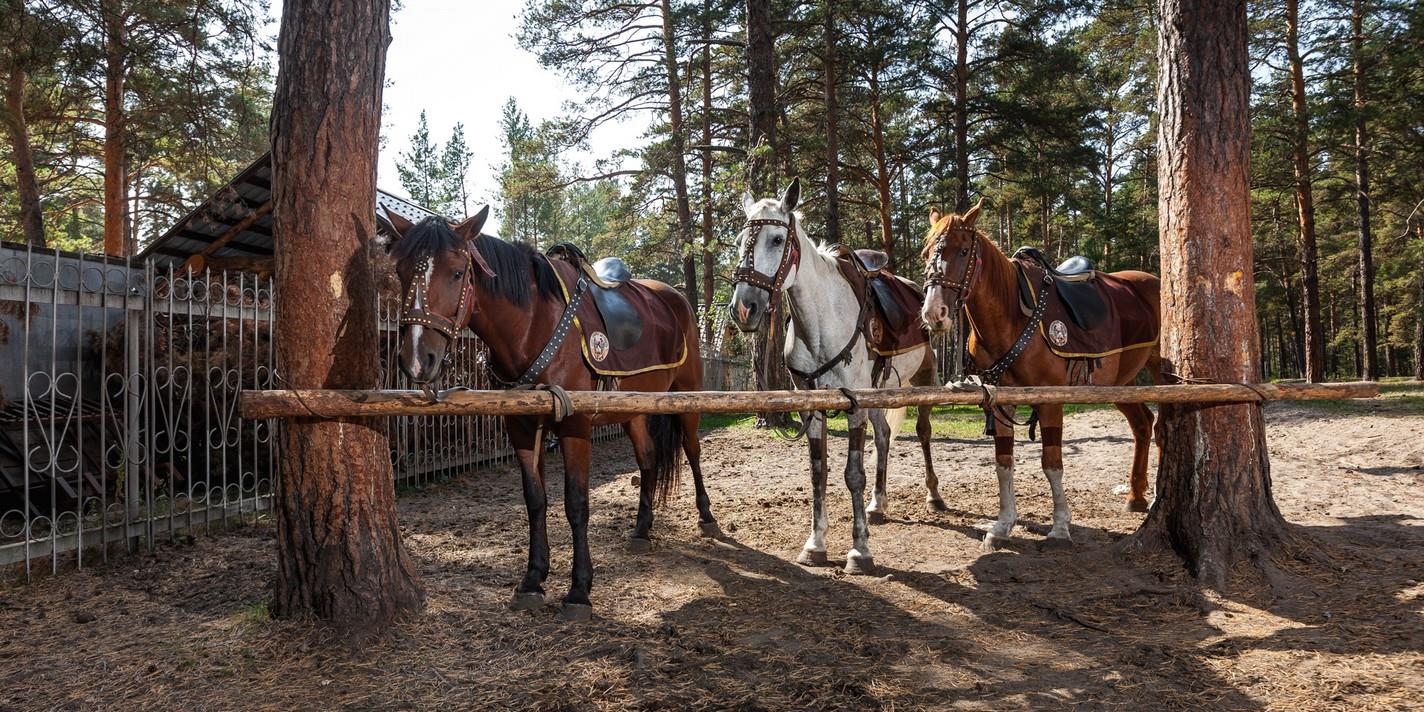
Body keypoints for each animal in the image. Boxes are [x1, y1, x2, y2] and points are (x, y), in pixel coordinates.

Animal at [384, 206, 717, 618]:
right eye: (400, 272)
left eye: (458, 272)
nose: (417, 360)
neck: (534, 326)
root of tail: (677, 299)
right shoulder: (522, 427)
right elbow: (536, 501)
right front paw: (532, 580)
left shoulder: (575, 425)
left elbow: (576, 503)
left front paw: (579, 590)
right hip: (634, 410)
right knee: (648, 459)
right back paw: (642, 530)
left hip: (688, 398)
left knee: (692, 450)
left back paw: (707, 517)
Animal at [729, 178, 939, 572]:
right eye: (738, 241)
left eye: (777, 240)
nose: (744, 308)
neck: (822, 325)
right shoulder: (812, 408)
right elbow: (818, 472)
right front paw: (815, 544)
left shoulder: (853, 405)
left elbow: (853, 474)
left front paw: (860, 551)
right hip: (880, 392)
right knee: (884, 436)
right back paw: (878, 505)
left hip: (924, 380)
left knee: (923, 432)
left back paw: (934, 495)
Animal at [917, 200, 1161, 549]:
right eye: (926, 253)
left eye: (963, 251)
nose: (933, 313)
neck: (1012, 318)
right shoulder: (999, 402)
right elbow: (1003, 463)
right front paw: (1003, 524)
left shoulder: (1050, 402)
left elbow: (1052, 463)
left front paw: (1059, 527)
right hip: (1122, 383)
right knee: (1142, 425)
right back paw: (1135, 496)